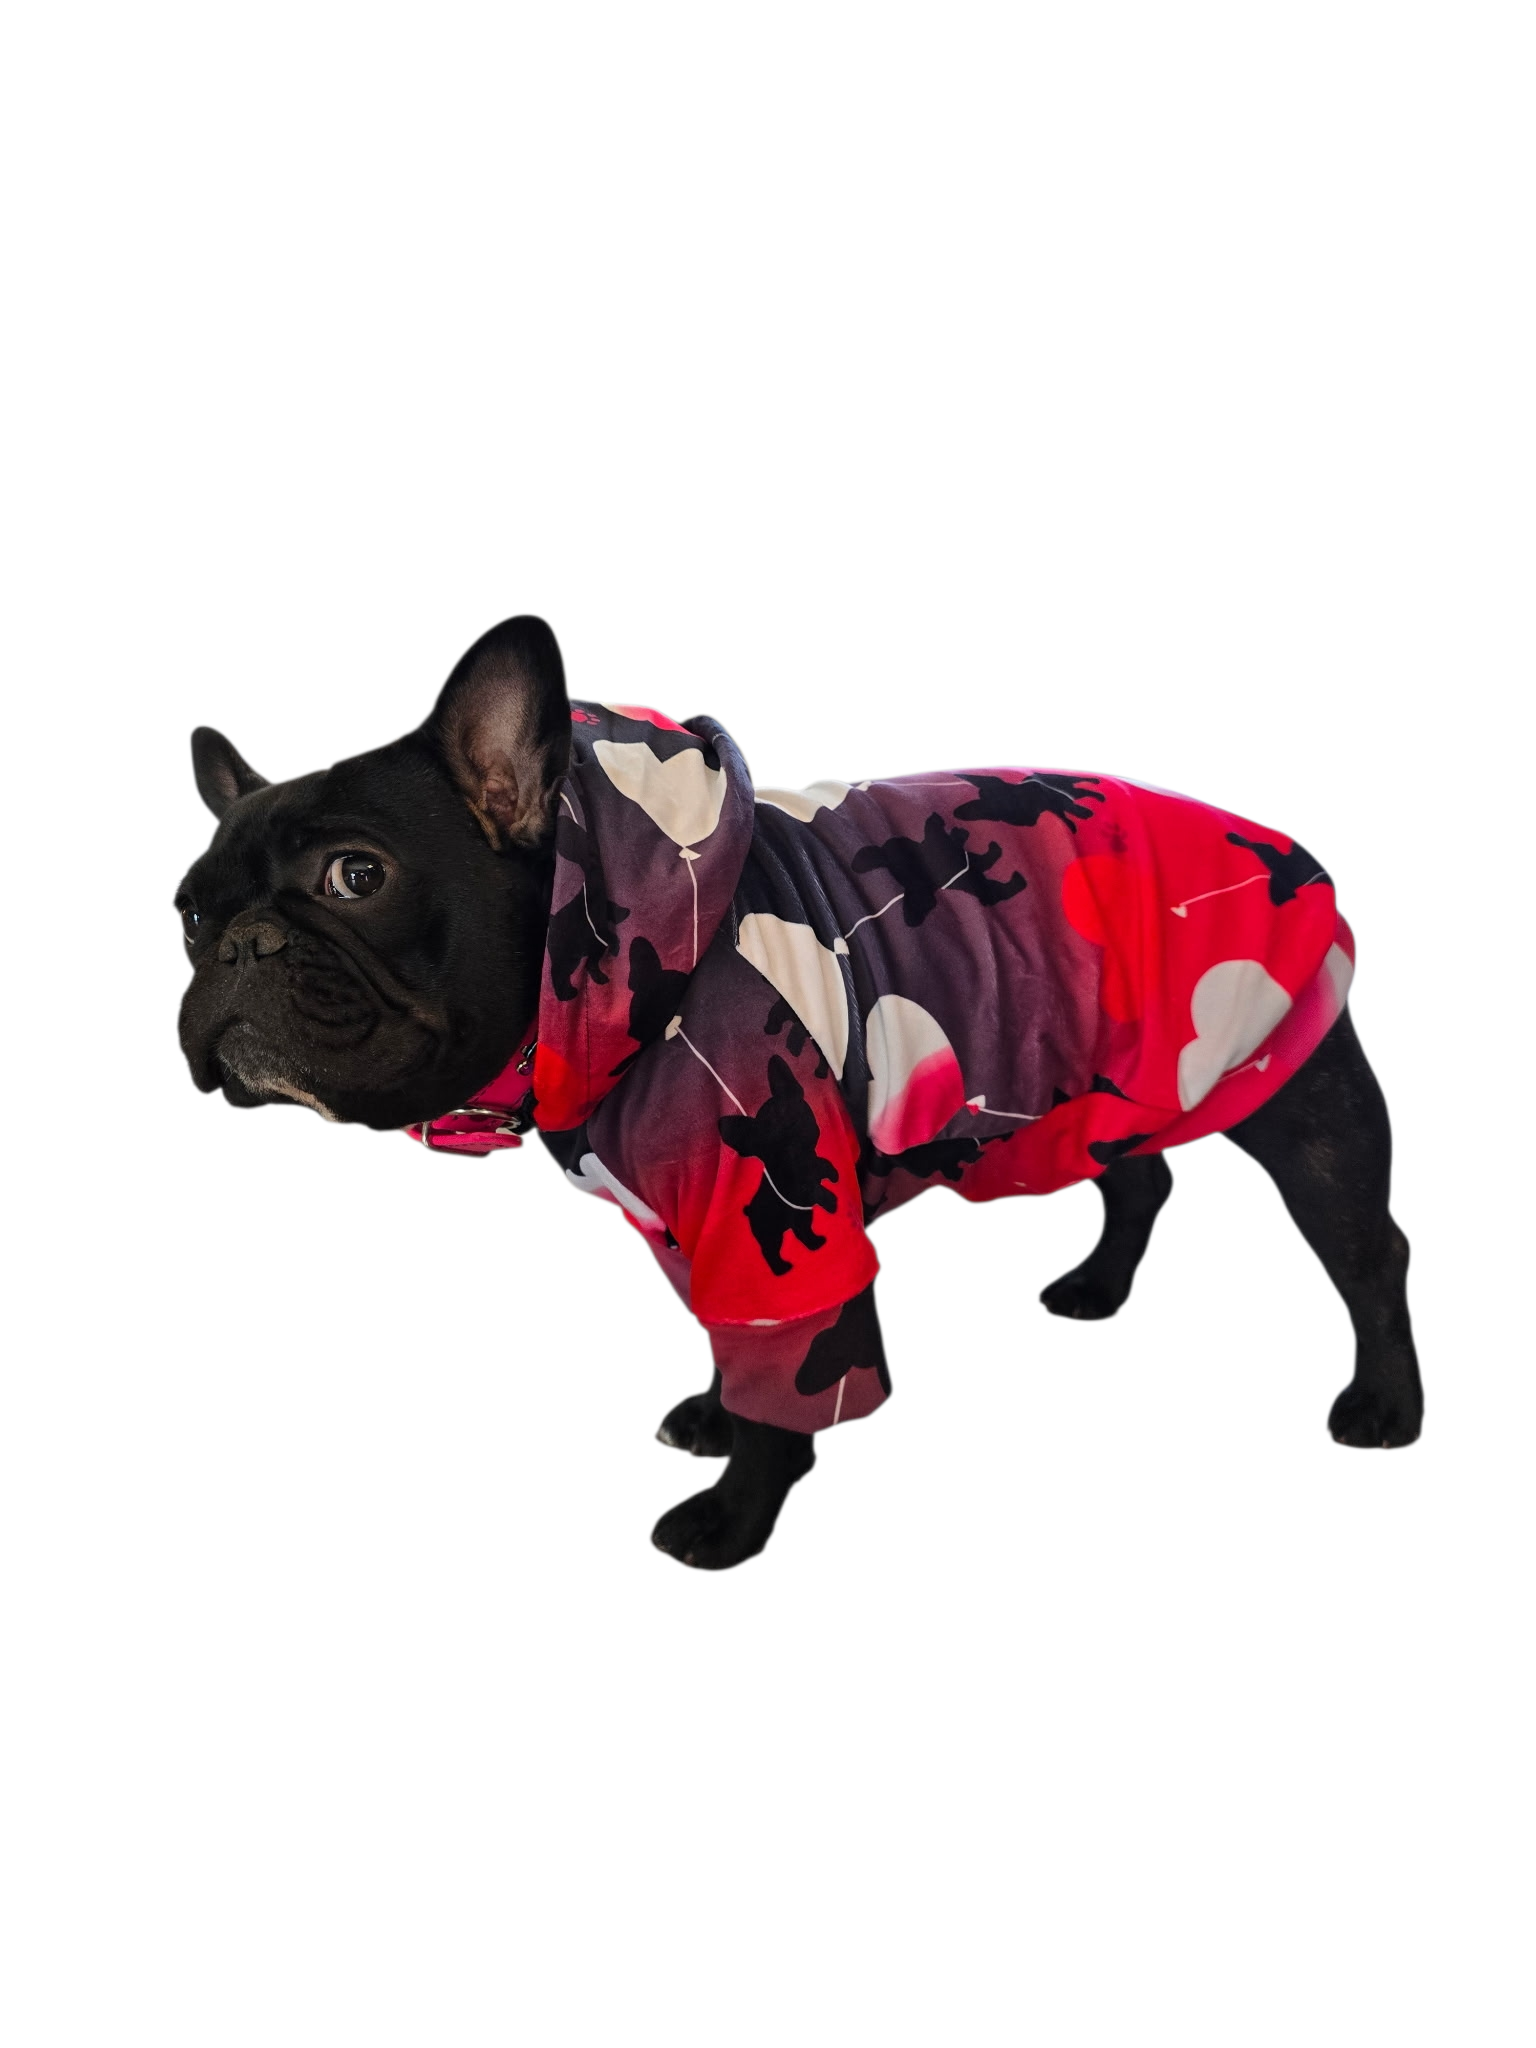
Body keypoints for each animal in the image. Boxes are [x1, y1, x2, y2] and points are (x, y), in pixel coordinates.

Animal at [177, 616, 1423, 1567]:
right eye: (188, 911)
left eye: (357, 874)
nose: (236, 945)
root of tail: (1276, 840)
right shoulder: (702, 1223)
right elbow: (732, 1335)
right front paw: (715, 1416)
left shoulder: (777, 1214)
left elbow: (791, 1370)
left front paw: (733, 1514)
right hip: (1102, 1085)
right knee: (1139, 1177)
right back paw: (1094, 1287)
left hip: (1300, 1098)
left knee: (1369, 1251)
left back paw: (1386, 1407)